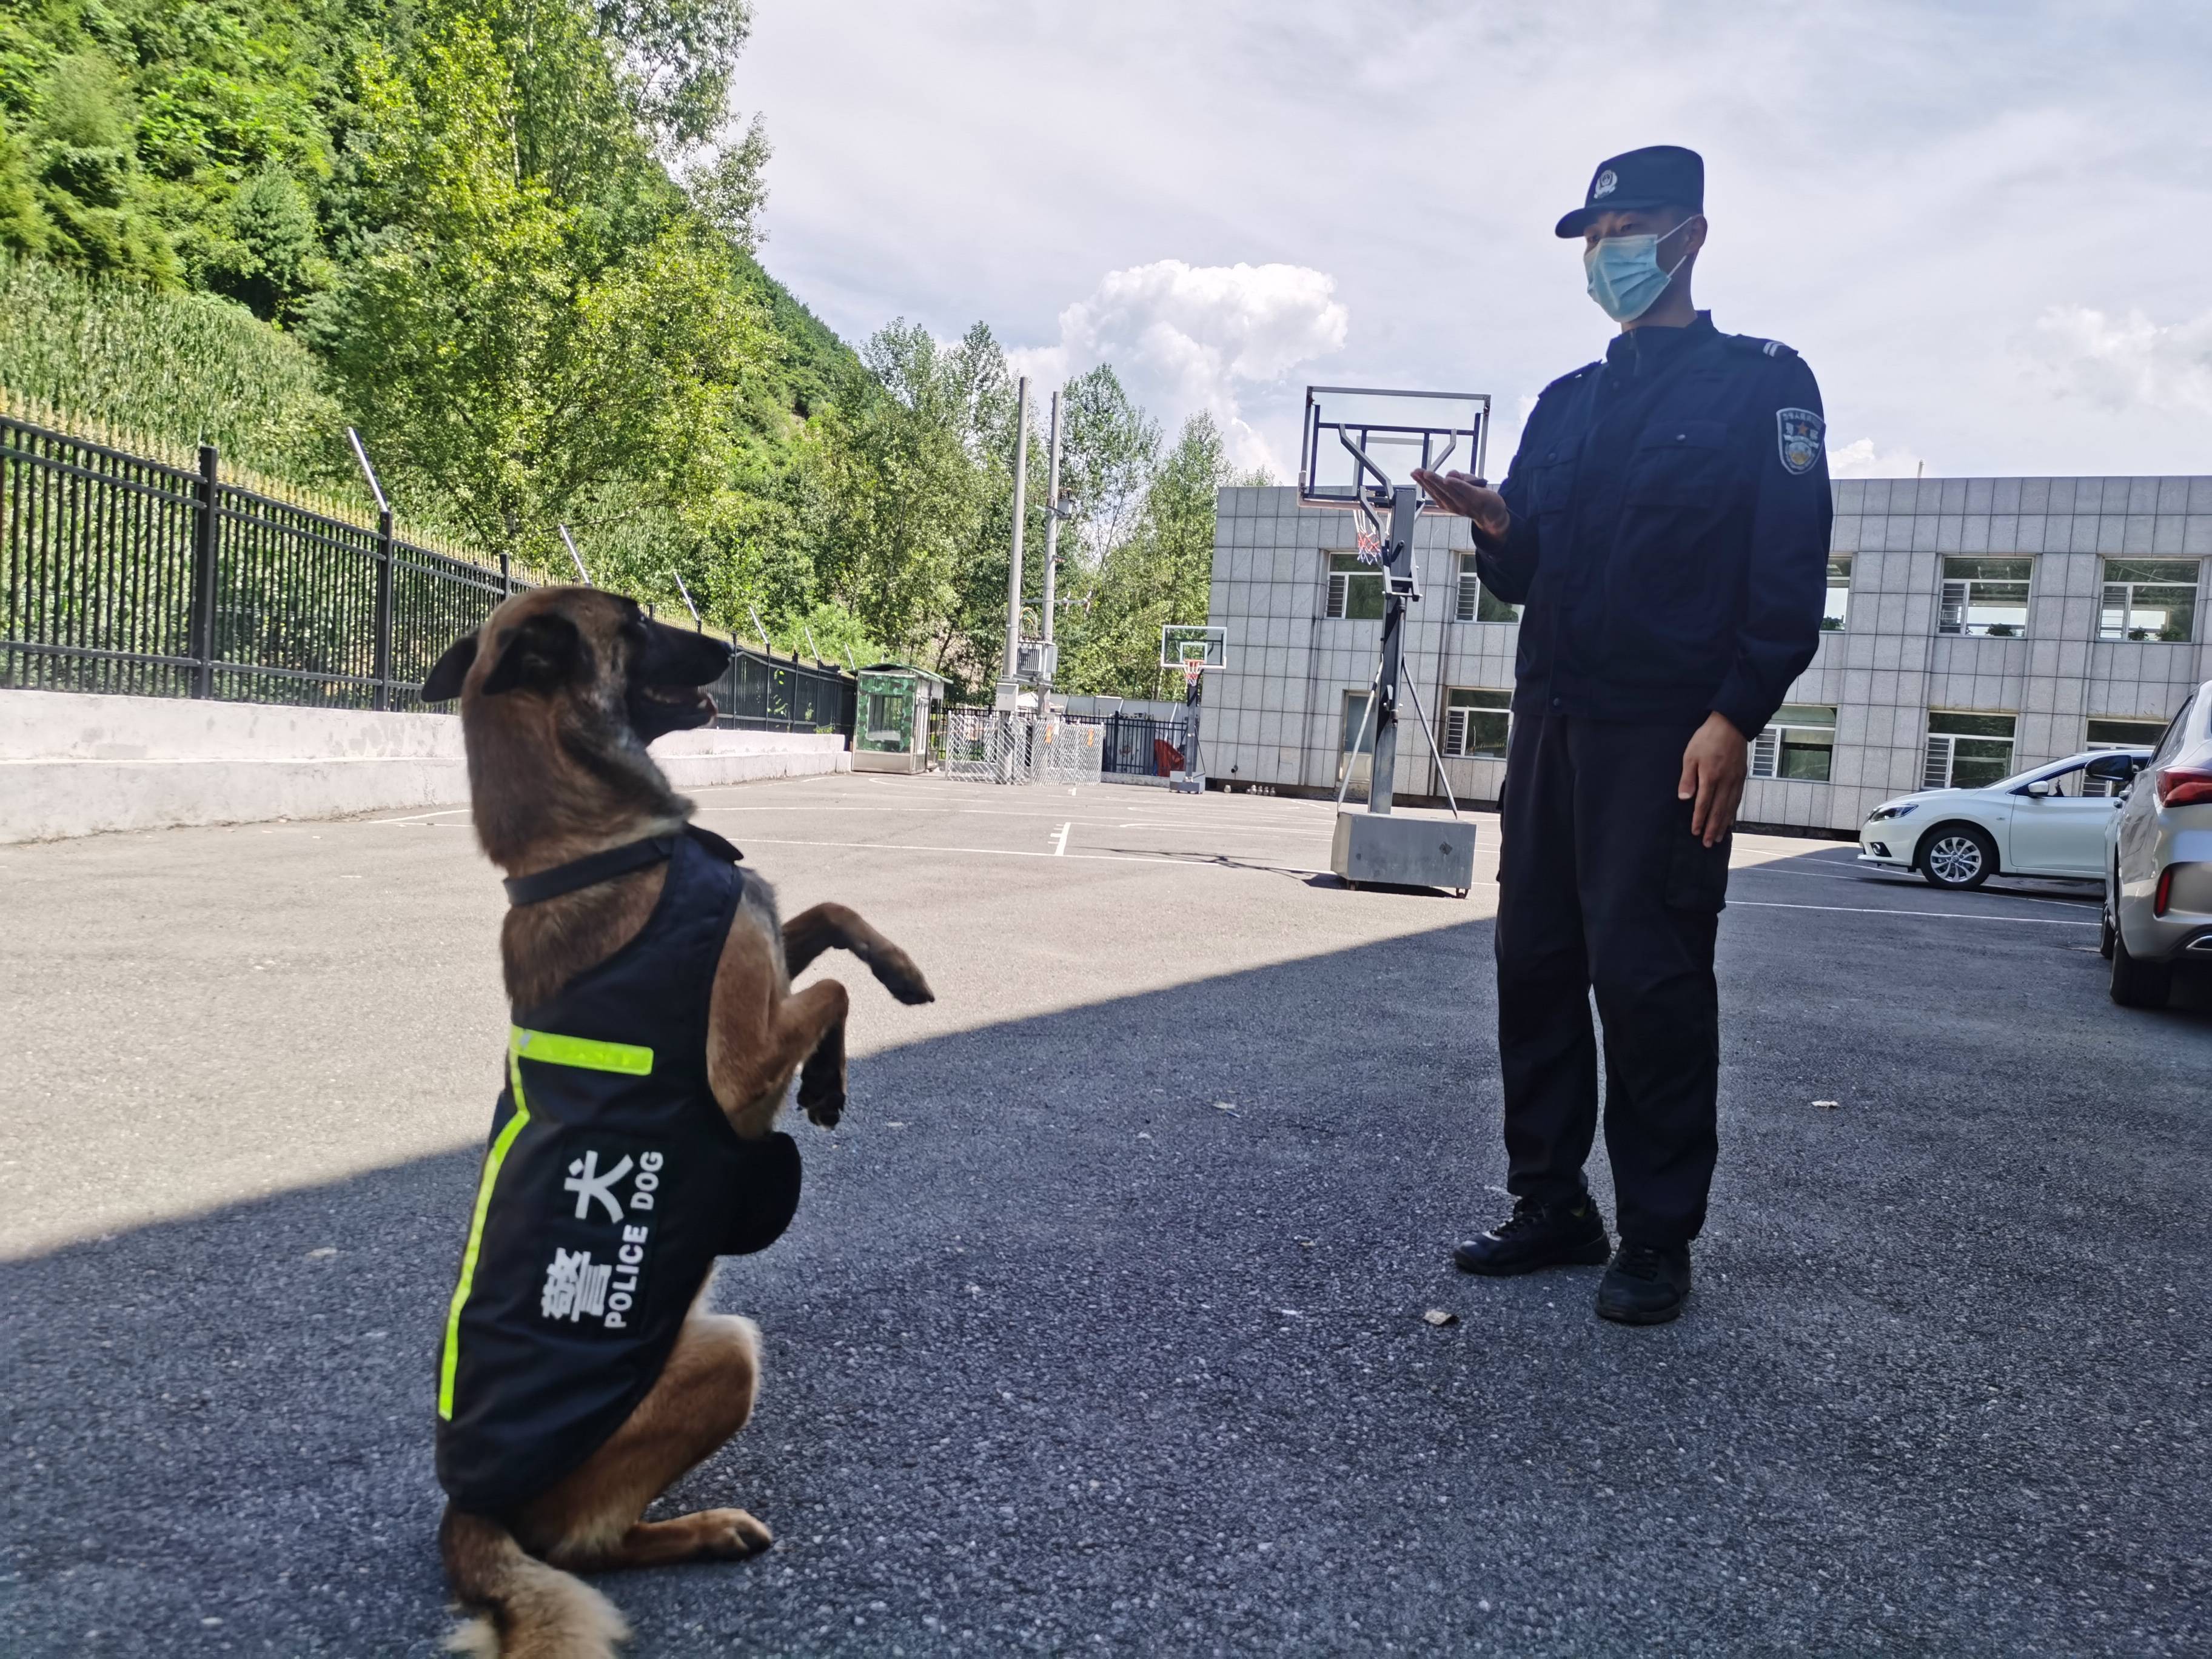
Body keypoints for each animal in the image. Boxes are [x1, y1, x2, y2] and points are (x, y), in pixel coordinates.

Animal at [420, 592, 933, 1659]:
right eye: (635, 622)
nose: (731, 651)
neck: (588, 845)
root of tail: (466, 1512)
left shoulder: (765, 947)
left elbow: (825, 913)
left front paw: (897, 969)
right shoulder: (740, 1066)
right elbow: (825, 992)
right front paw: (828, 1078)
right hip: (728, 1354)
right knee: (589, 1547)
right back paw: (705, 1531)